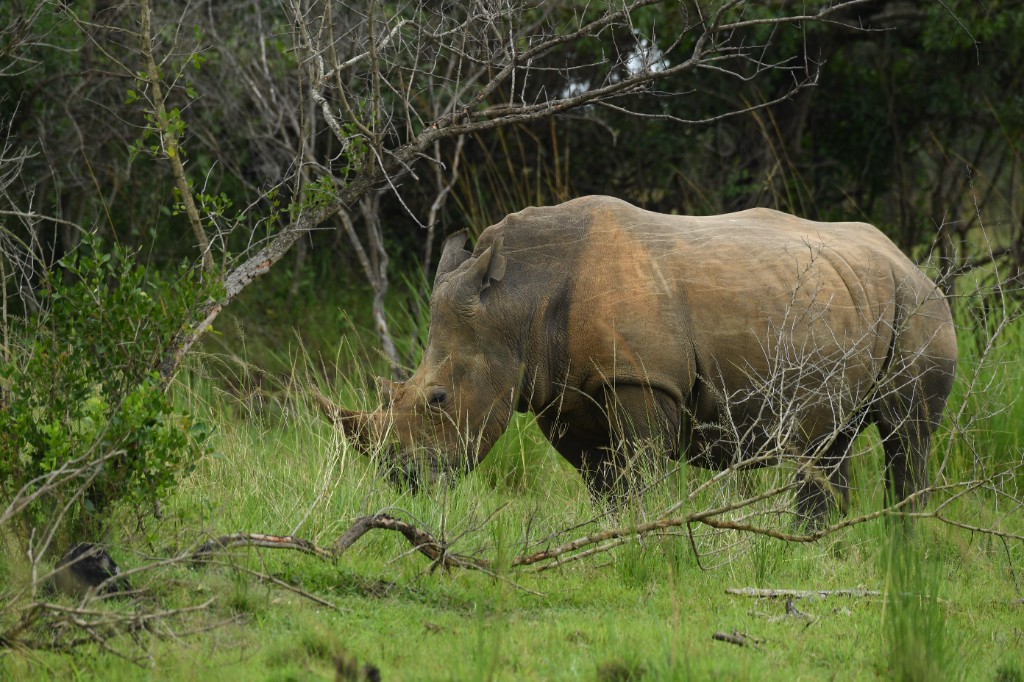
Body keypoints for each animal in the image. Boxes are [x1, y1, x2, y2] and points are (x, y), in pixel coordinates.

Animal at [320, 195, 957, 521]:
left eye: (438, 398)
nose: (401, 478)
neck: (516, 298)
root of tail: (912, 261)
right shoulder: (563, 392)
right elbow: (603, 480)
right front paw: (610, 536)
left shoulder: (642, 379)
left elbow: (640, 468)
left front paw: (640, 536)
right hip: (857, 297)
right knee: (830, 439)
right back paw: (822, 543)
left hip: (919, 307)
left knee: (906, 434)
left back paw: (905, 541)